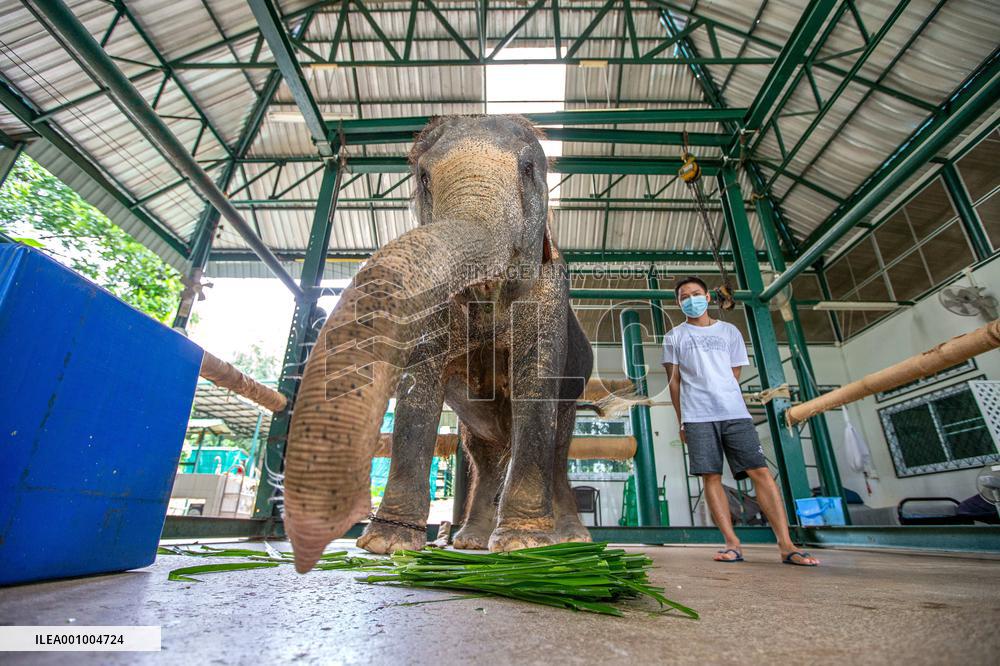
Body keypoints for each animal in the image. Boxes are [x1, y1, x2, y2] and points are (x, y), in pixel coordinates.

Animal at [282, 115, 594, 572]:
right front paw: (386, 544)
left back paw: (570, 539)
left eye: (528, 170)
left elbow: (535, 385)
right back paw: (471, 541)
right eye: (424, 178)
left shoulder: (551, 291)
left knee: (556, 448)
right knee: (482, 453)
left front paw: (524, 546)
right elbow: (420, 383)